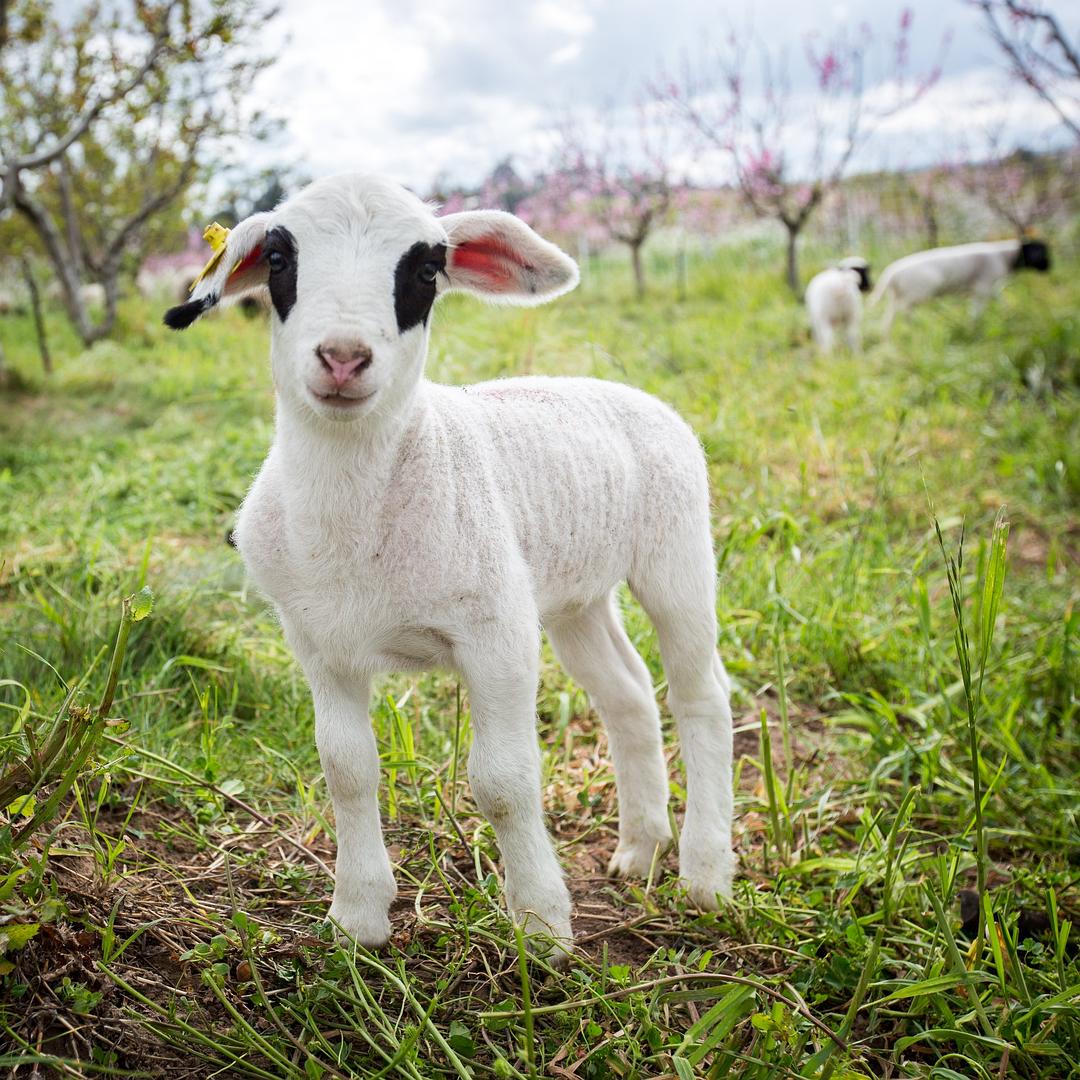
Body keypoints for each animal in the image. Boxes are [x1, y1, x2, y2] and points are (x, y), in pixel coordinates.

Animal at [162, 172, 734, 959]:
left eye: (427, 270)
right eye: (279, 258)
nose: (343, 357)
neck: (357, 518)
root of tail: (623, 390)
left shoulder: (497, 636)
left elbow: (503, 781)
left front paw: (541, 926)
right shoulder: (319, 643)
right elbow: (346, 769)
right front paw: (357, 918)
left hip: (676, 556)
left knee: (701, 695)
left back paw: (705, 874)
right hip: (573, 597)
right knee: (629, 695)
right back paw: (639, 850)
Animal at [872, 238, 1049, 330]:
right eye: (1040, 253)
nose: (1049, 267)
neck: (1005, 256)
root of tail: (892, 272)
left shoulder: (989, 287)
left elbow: (1000, 299)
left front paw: (1008, 314)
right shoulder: (982, 286)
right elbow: (977, 310)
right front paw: (974, 326)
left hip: (899, 296)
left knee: (891, 314)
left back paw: (890, 333)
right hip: (916, 293)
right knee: (901, 310)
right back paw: (910, 327)